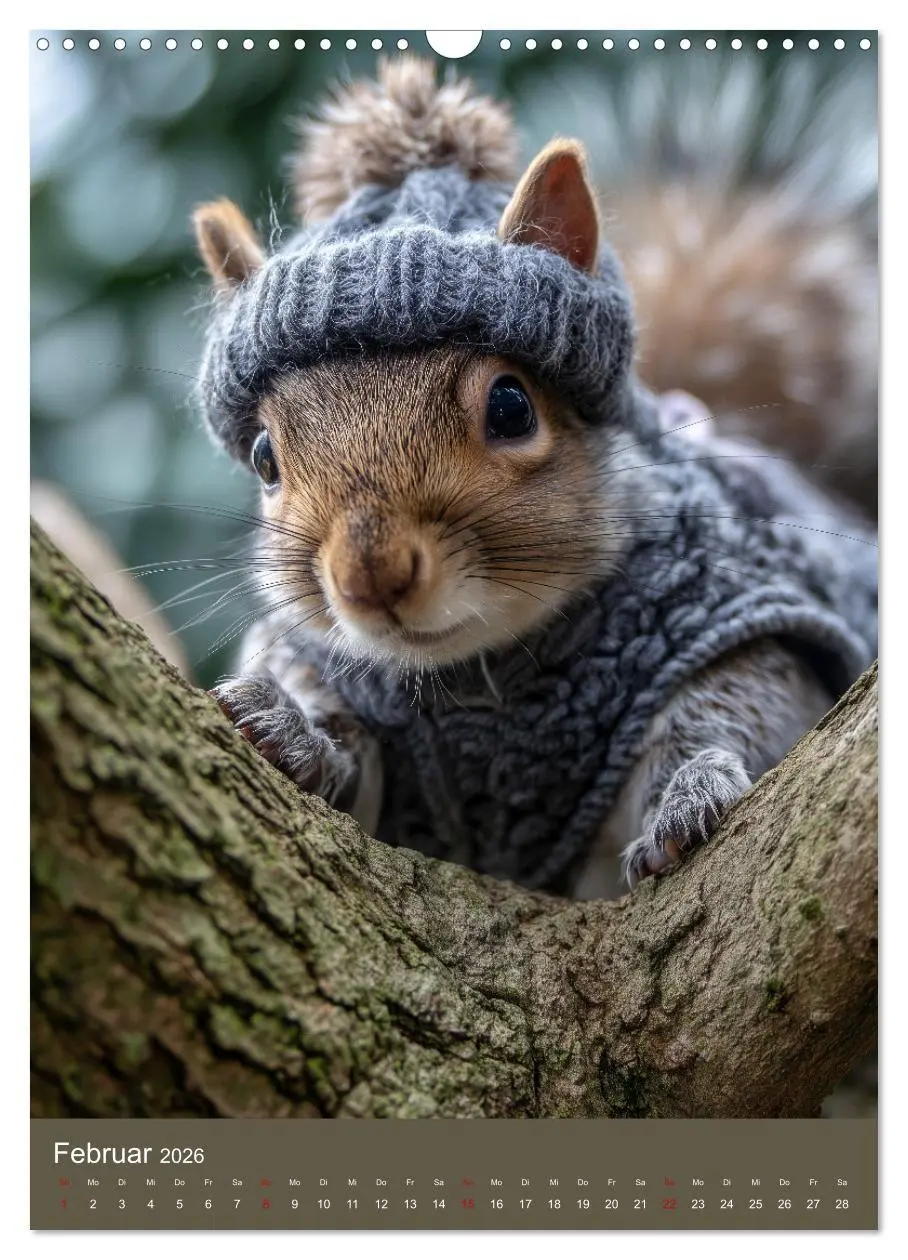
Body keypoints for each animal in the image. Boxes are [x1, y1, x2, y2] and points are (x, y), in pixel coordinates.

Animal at [192, 57, 877, 901]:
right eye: (264, 456)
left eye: (512, 406)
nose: (369, 577)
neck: (479, 676)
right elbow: (346, 754)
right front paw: (291, 728)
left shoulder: (735, 615)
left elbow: (740, 708)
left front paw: (688, 793)